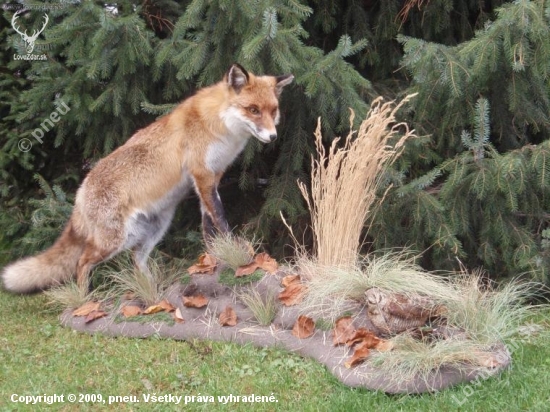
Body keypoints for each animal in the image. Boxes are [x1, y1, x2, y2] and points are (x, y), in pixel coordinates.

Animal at [2, 63, 296, 292]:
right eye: (253, 110)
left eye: (273, 111)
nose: (273, 137)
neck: (219, 126)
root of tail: (80, 194)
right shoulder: (202, 174)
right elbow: (221, 220)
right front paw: (236, 255)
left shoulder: (211, 178)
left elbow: (208, 225)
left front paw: (215, 256)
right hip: (114, 240)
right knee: (82, 262)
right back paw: (85, 299)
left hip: (153, 230)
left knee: (136, 261)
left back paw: (151, 291)